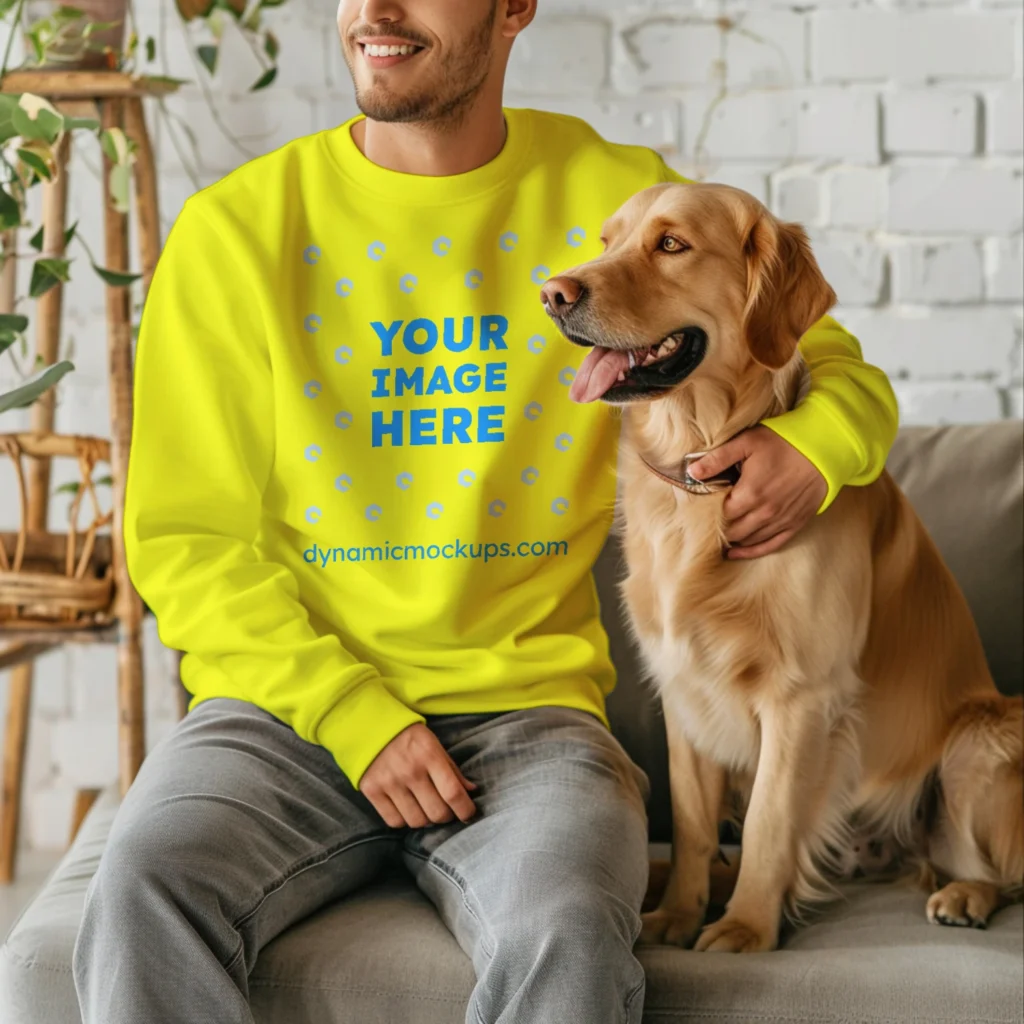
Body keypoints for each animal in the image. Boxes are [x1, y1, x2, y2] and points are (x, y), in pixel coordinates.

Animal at [540, 182, 1019, 950]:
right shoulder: (684, 689)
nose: (553, 294)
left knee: (990, 865)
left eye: (670, 244)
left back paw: (964, 894)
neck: (704, 473)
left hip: (981, 740)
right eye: (607, 241)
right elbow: (694, 824)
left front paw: (744, 930)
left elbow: (768, 819)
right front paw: (677, 914)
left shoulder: (802, 697)